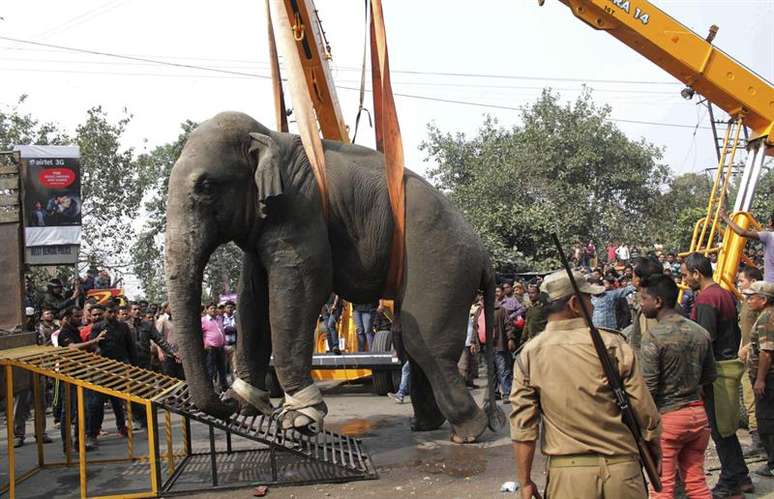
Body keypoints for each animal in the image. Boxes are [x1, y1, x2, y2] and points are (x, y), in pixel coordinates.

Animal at [165, 111, 504, 444]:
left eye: (206, 186)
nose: (222, 401)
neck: (269, 135)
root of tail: (485, 256)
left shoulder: (298, 207)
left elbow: (302, 285)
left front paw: (300, 420)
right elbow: (252, 297)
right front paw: (245, 403)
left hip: (441, 262)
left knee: (424, 343)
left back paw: (467, 432)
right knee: (409, 341)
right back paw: (425, 425)